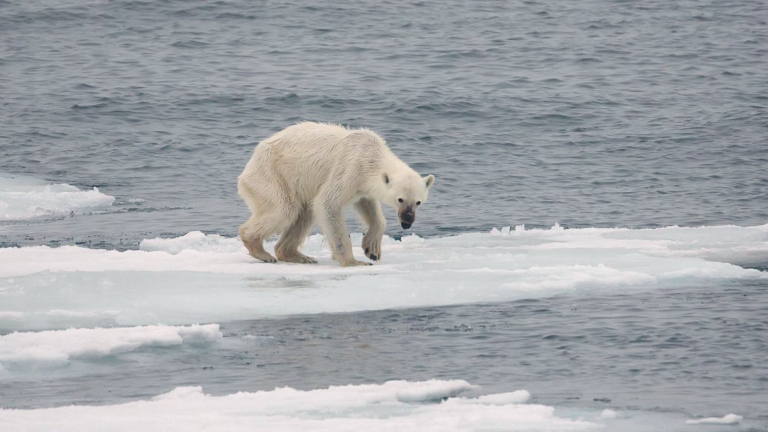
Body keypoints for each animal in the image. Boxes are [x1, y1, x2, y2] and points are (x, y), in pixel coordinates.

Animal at [237, 121, 436, 268]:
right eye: (400, 199)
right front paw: (354, 262)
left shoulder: (361, 184)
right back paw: (261, 250)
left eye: (418, 202)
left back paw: (298, 256)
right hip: (272, 175)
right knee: (284, 209)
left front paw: (372, 249)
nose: (406, 222)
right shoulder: (350, 167)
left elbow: (368, 205)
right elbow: (328, 203)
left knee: (304, 213)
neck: (371, 155)